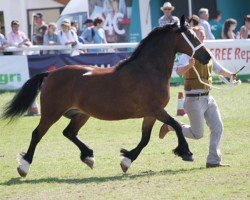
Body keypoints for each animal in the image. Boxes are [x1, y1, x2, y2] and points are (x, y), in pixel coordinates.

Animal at [1, 16, 211, 177]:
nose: (207, 56)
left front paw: (127, 159)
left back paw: (88, 156)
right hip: (52, 113)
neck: (147, 70)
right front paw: (186, 152)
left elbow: (145, 139)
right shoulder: (156, 110)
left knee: (69, 133)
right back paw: (24, 166)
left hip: (81, 114)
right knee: (37, 134)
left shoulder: (151, 113)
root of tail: (51, 74)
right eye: (191, 35)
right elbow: (175, 125)